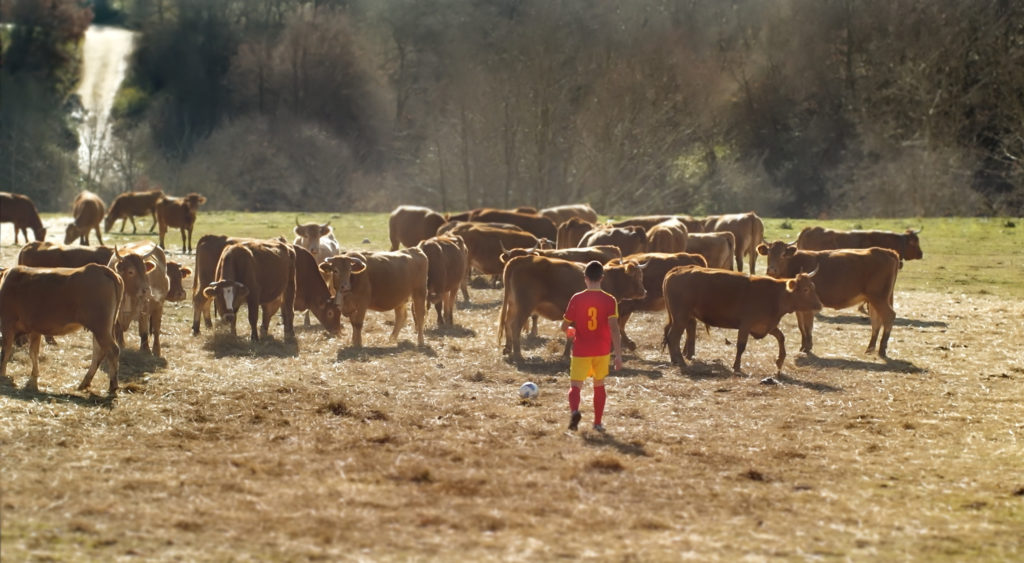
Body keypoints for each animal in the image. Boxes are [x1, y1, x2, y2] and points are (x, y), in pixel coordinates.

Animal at [0, 264, 124, 393]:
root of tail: (101, 269)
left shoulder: (7, 322)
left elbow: (5, 351)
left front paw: (2, 376)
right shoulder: (35, 329)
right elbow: (33, 352)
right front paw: (33, 379)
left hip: (100, 327)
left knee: (112, 350)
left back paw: (113, 386)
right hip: (102, 329)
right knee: (99, 352)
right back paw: (84, 383)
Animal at [497, 256, 647, 364]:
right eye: (638, 276)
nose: (644, 291)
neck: (609, 279)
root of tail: (518, 259)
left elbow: (572, 335)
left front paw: (566, 355)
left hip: (513, 305)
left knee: (507, 323)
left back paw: (508, 349)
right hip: (524, 306)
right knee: (515, 326)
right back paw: (518, 355)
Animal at [663, 264, 823, 374]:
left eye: (813, 287)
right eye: (805, 289)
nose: (819, 306)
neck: (776, 296)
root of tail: (676, 270)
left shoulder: (767, 326)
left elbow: (781, 337)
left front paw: (780, 360)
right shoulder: (745, 325)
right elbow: (741, 346)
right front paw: (737, 367)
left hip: (680, 317)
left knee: (671, 336)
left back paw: (675, 360)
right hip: (681, 317)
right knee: (673, 337)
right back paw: (681, 362)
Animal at [757, 241, 901, 358]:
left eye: (783, 254)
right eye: (769, 253)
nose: (771, 270)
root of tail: (887, 251)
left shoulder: (809, 307)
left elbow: (808, 326)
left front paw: (807, 347)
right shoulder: (799, 308)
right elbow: (801, 326)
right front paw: (803, 346)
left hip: (879, 297)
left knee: (889, 316)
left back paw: (882, 349)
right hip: (873, 300)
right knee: (876, 320)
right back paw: (870, 349)